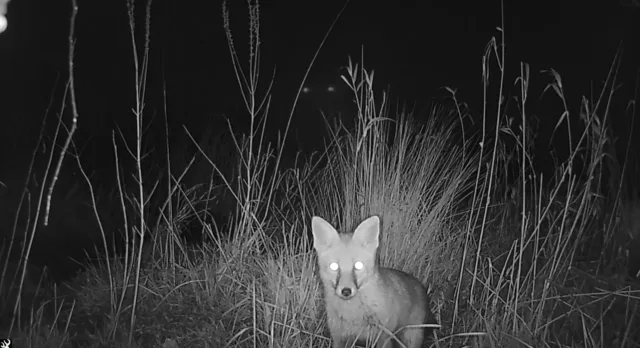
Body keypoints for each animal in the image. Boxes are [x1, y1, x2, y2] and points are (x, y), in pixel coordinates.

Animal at [310, 215, 436, 348]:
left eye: (358, 265)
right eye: (334, 266)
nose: (346, 291)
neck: (353, 316)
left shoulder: (383, 338)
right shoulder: (340, 339)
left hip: (411, 337)